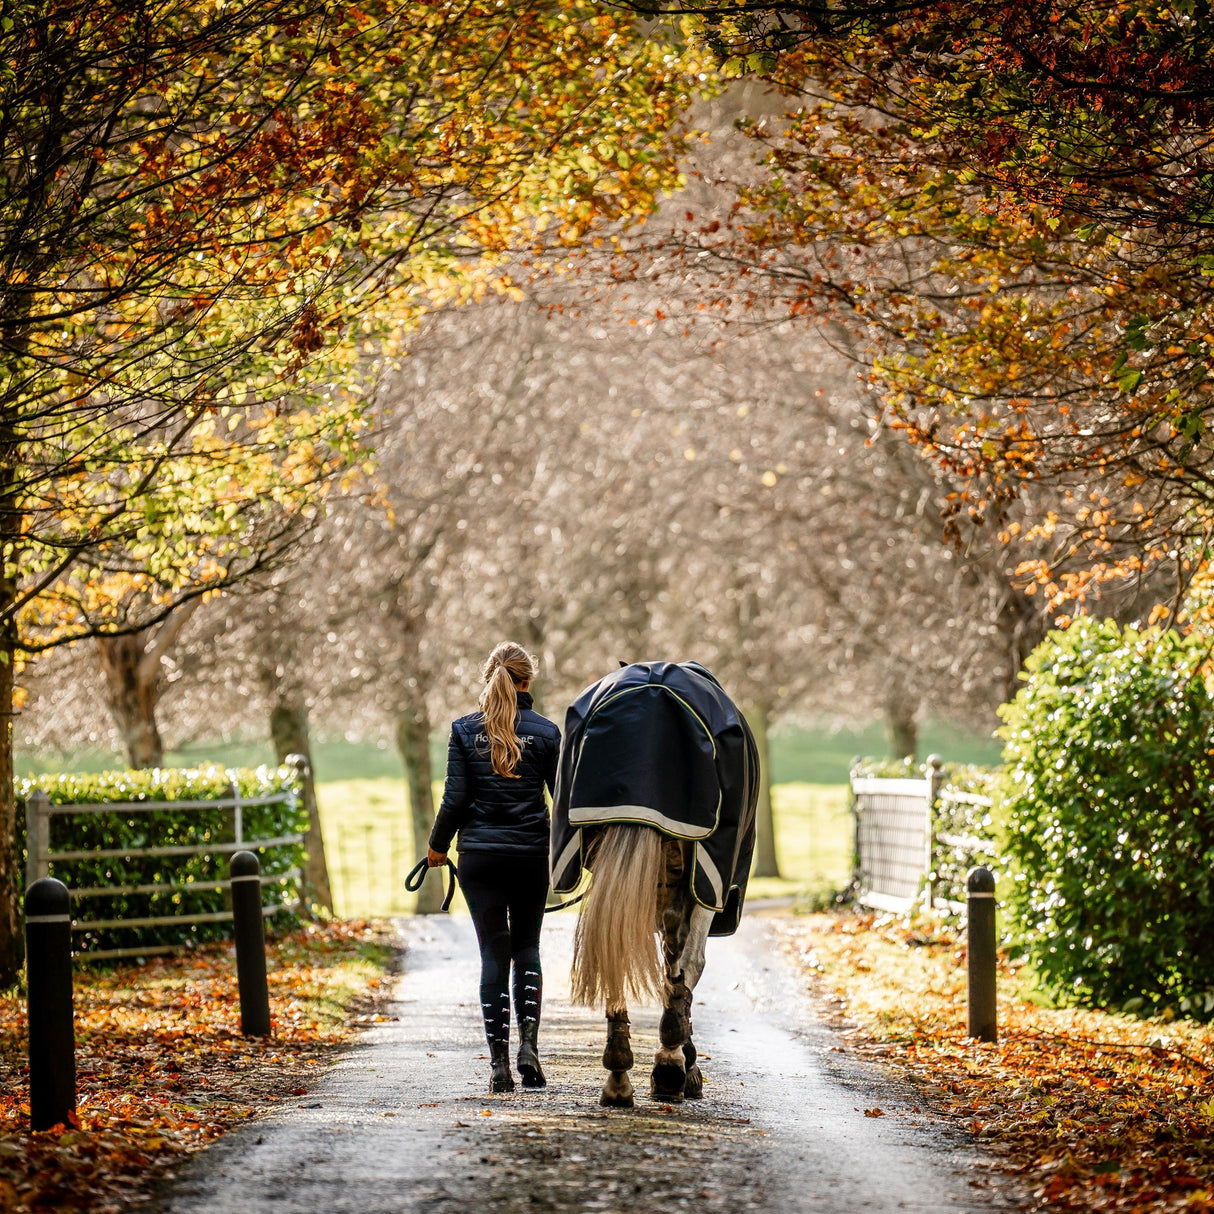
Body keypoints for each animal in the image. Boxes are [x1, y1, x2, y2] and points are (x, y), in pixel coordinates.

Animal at [551, 660, 757, 1107]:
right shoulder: (700, 888)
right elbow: (683, 969)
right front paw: (681, 1064)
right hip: (707, 880)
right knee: (687, 966)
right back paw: (668, 1067)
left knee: (615, 954)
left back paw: (618, 1074)